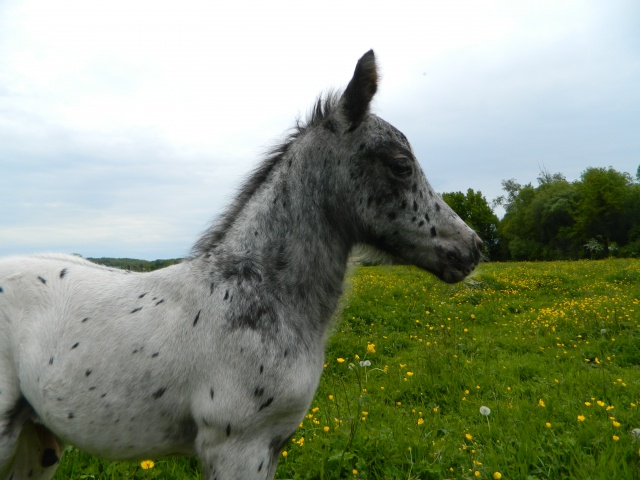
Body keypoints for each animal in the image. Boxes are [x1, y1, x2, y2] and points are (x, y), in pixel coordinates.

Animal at [0, 50, 480, 478]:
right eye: (401, 166)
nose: (471, 247)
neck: (262, 293)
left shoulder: (271, 447)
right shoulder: (238, 448)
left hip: (37, 441)